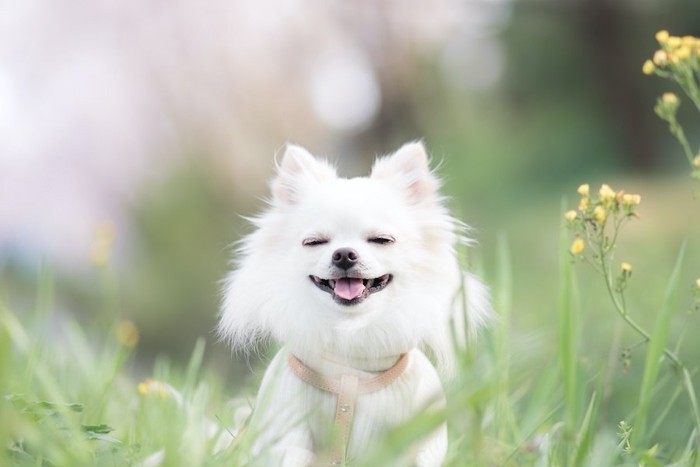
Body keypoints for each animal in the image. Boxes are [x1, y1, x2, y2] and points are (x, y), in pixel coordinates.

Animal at [221, 143, 490, 467]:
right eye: (314, 242)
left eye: (382, 240)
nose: (344, 254)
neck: (351, 359)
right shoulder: (289, 435)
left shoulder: (413, 442)